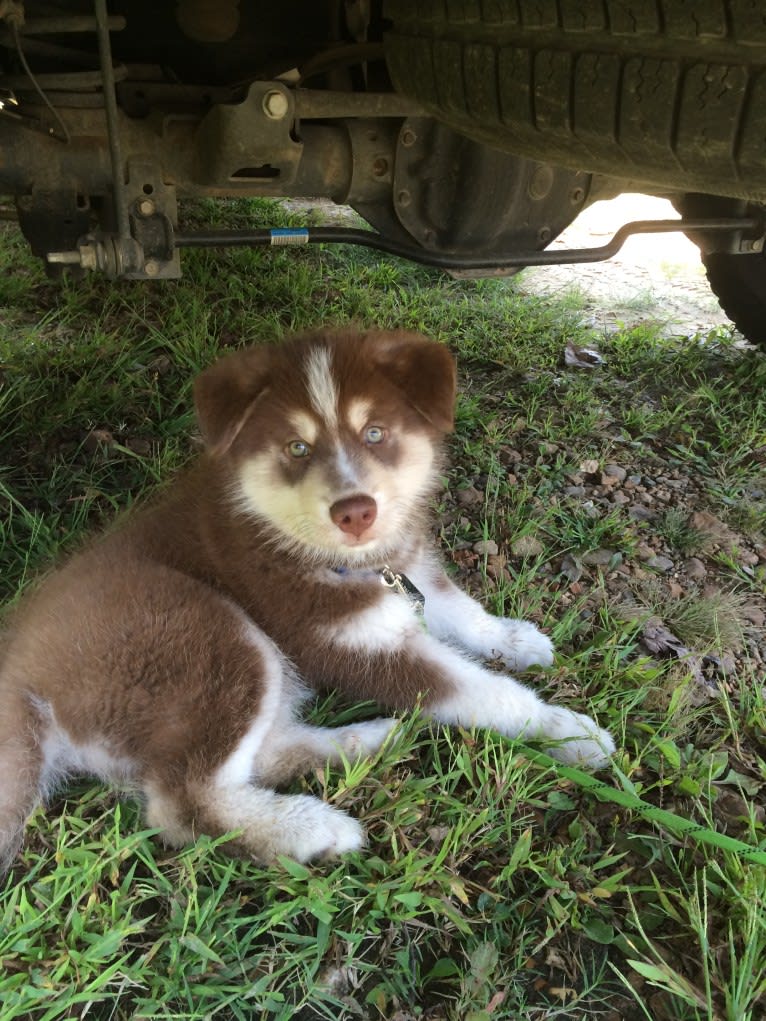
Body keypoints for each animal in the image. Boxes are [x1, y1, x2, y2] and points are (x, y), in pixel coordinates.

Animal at [0, 326, 616, 869]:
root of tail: (21, 679)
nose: (356, 511)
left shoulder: (410, 572)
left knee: (263, 754)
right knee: (183, 803)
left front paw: (513, 638)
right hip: (211, 638)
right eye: (297, 448)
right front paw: (562, 728)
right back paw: (310, 828)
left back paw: (366, 740)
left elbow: (461, 610)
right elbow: (483, 692)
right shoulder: (351, 643)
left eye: (375, 434)